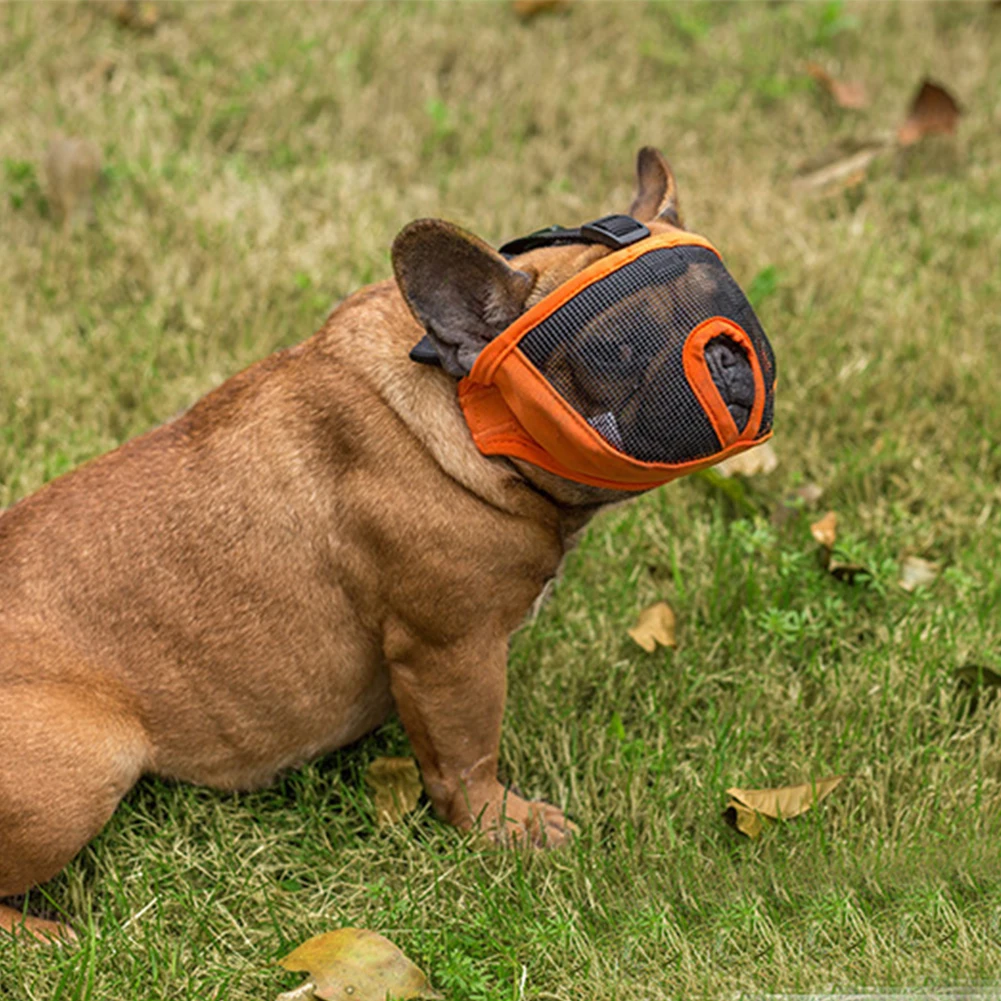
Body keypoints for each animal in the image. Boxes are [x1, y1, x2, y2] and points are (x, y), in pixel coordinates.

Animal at [0, 145, 684, 940]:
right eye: (615, 351)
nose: (724, 358)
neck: (460, 406)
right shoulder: (451, 649)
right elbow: (465, 754)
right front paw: (501, 826)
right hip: (84, 766)